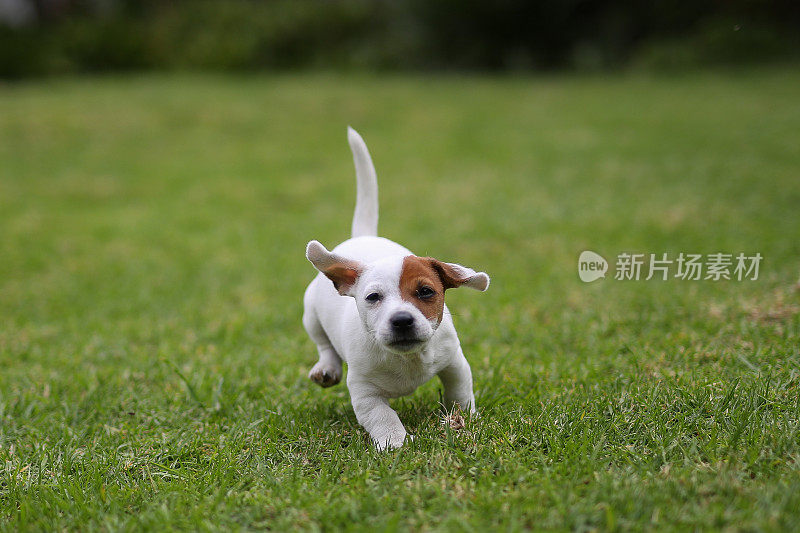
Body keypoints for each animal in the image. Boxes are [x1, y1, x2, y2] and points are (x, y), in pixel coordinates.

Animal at [304, 129, 488, 448]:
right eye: (373, 297)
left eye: (426, 292)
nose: (402, 320)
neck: (407, 358)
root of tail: (363, 236)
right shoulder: (364, 390)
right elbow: (382, 416)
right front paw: (395, 443)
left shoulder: (454, 362)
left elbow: (460, 393)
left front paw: (463, 419)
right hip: (310, 313)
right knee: (323, 343)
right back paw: (327, 368)